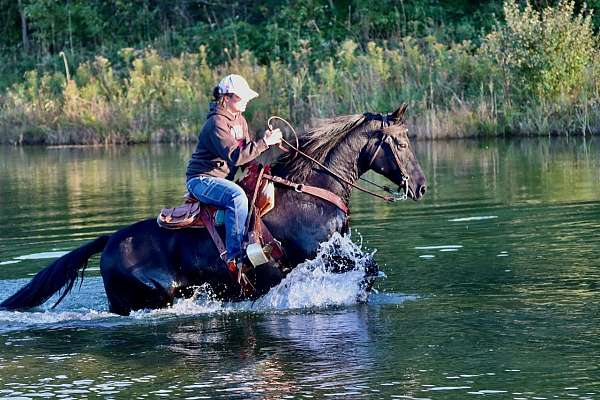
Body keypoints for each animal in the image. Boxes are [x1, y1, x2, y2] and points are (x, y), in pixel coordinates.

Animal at [0, 104, 426, 318]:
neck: (311, 190)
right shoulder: (318, 257)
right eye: (402, 143)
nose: (420, 186)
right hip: (151, 297)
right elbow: (365, 271)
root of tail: (109, 241)